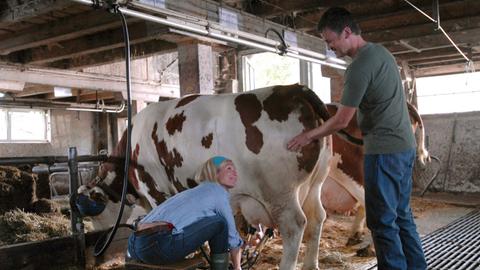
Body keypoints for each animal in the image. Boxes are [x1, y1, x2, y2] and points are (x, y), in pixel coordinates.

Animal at [80, 84, 362, 270]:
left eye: (94, 215)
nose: (97, 255)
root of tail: (295, 88)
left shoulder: (155, 190)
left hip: (279, 192)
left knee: (295, 225)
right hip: (315, 184)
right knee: (317, 218)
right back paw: (311, 265)